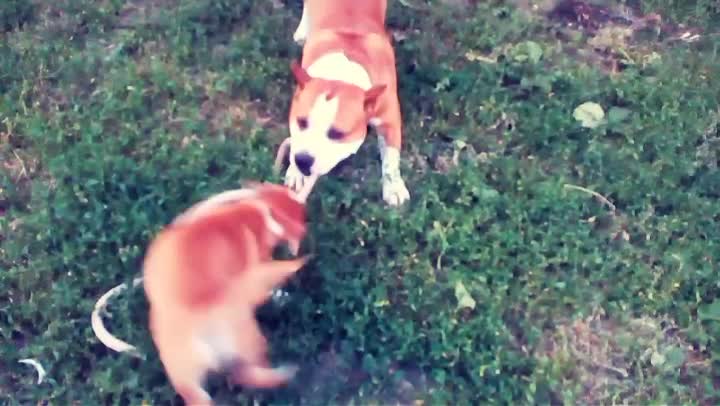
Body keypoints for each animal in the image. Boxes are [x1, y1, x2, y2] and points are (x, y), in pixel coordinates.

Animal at [282, 0, 410, 206]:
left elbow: (391, 158)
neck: (341, 74)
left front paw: (393, 188)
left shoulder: (389, 119)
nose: (303, 160)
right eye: (301, 122)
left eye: (337, 134)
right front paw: (295, 172)